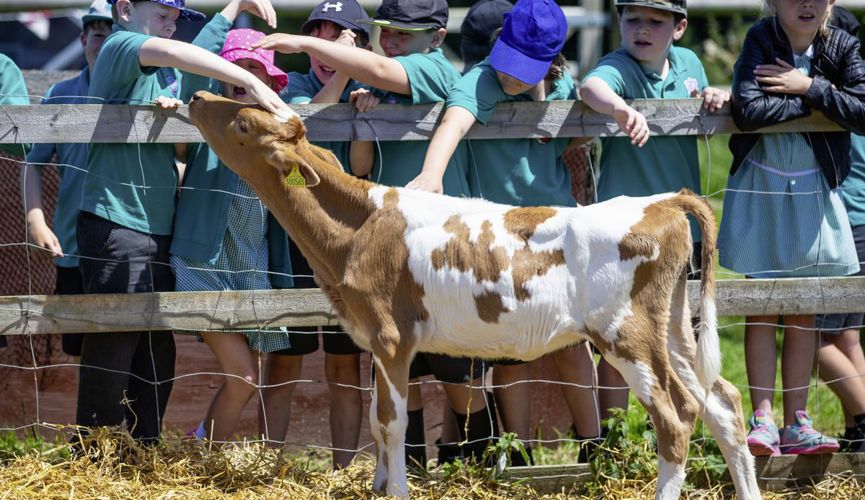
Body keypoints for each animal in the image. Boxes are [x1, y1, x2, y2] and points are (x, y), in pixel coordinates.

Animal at [187, 92, 756, 498]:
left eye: (242, 126)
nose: (195, 95)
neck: (359, 228)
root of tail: (661, 202)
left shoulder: (392, 339)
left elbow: (392, 424)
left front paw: (396, 491)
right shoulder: (375, 340)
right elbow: (376, 421)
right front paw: (377, 486)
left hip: (626, 333)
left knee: (676, 417)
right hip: (674, 326)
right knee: (723, 403)